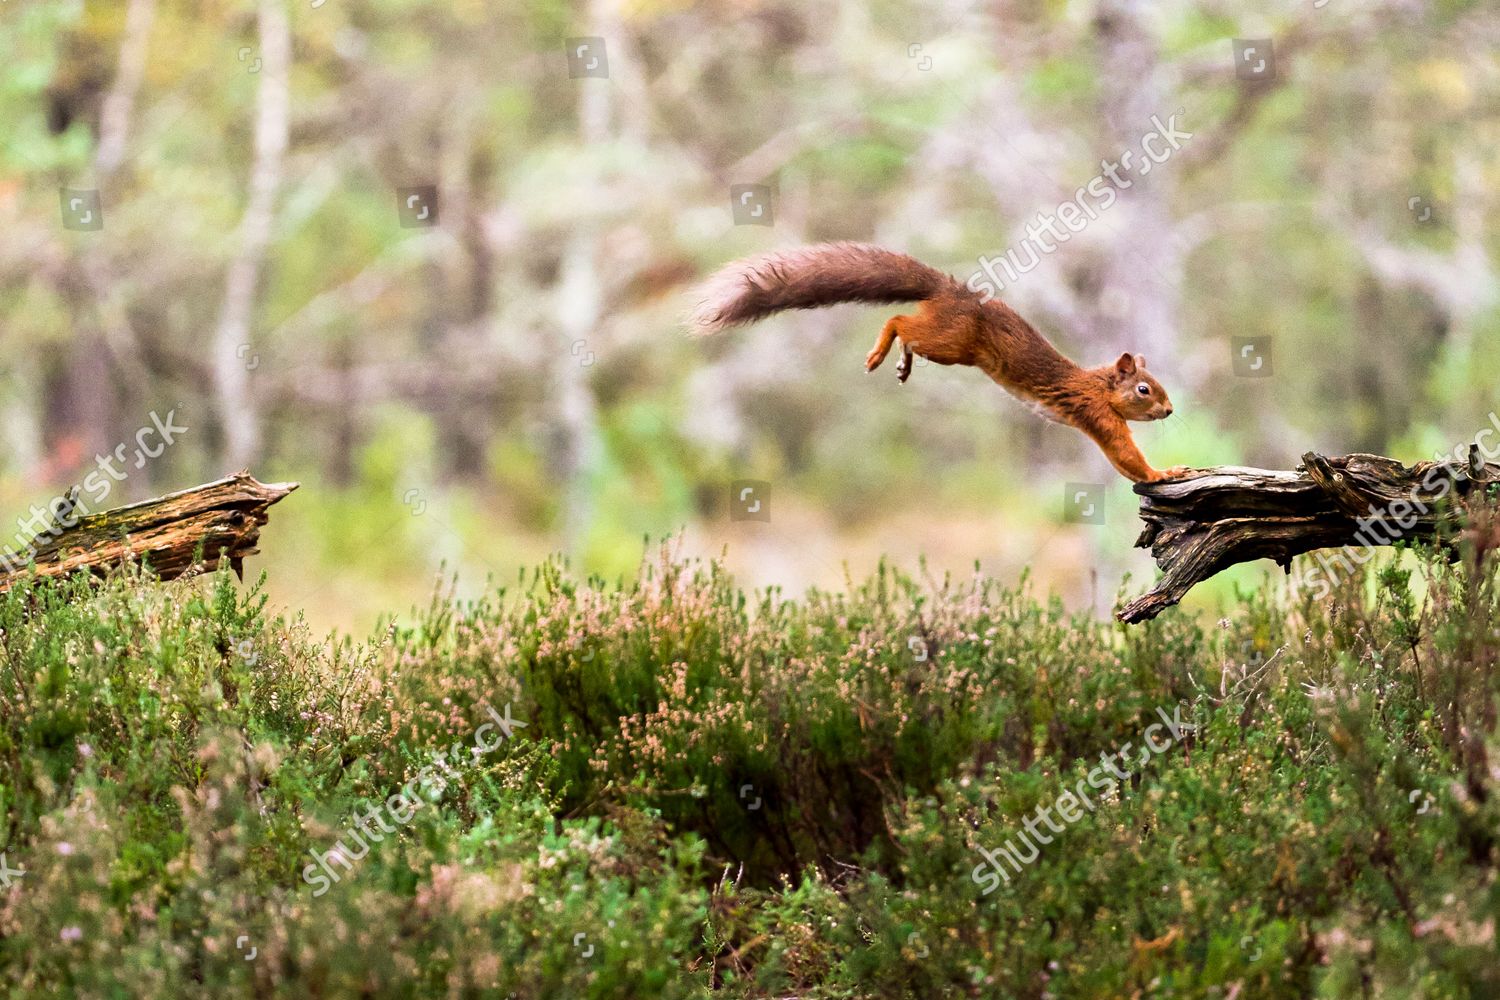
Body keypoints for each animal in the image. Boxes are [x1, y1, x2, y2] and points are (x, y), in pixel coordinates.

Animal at [690, 238, 1194, 479]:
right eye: (1144, 388)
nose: (1171, 410)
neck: (1098, 386)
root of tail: (951, 291)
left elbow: (1122, 464)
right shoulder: (1098, 416)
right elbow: (1128, 459)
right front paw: (1167, 472)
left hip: (953, 349)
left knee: (909, 331)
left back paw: (902, 362)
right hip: (953, 342)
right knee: (899, 319)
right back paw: (881, 351)